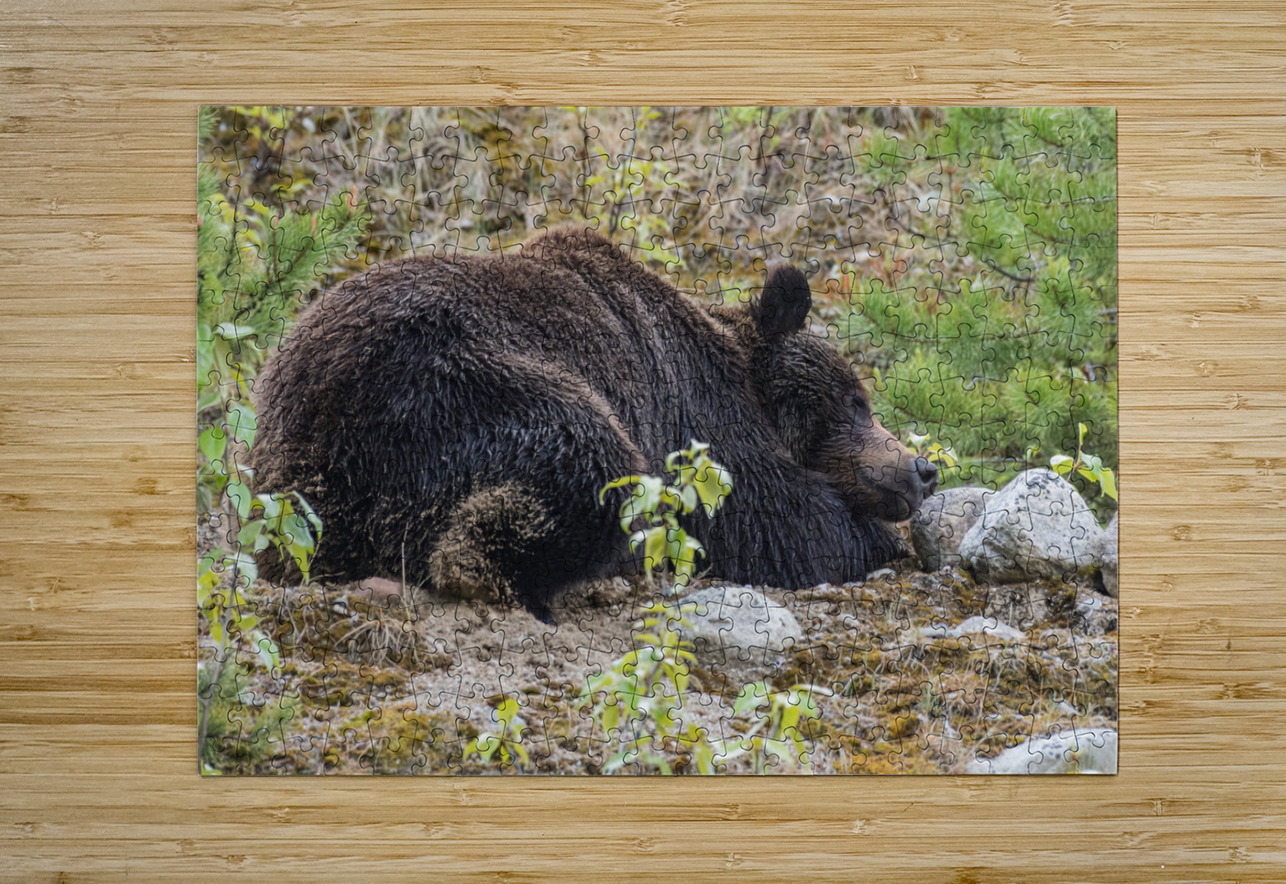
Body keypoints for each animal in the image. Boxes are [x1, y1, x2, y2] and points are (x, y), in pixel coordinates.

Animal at [250, 226, 938, 623]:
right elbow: (772, 521)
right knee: (589, 461)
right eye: (855, 402)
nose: (921, 468)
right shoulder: (694, 421)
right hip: (447, 388)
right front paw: (876, 537)